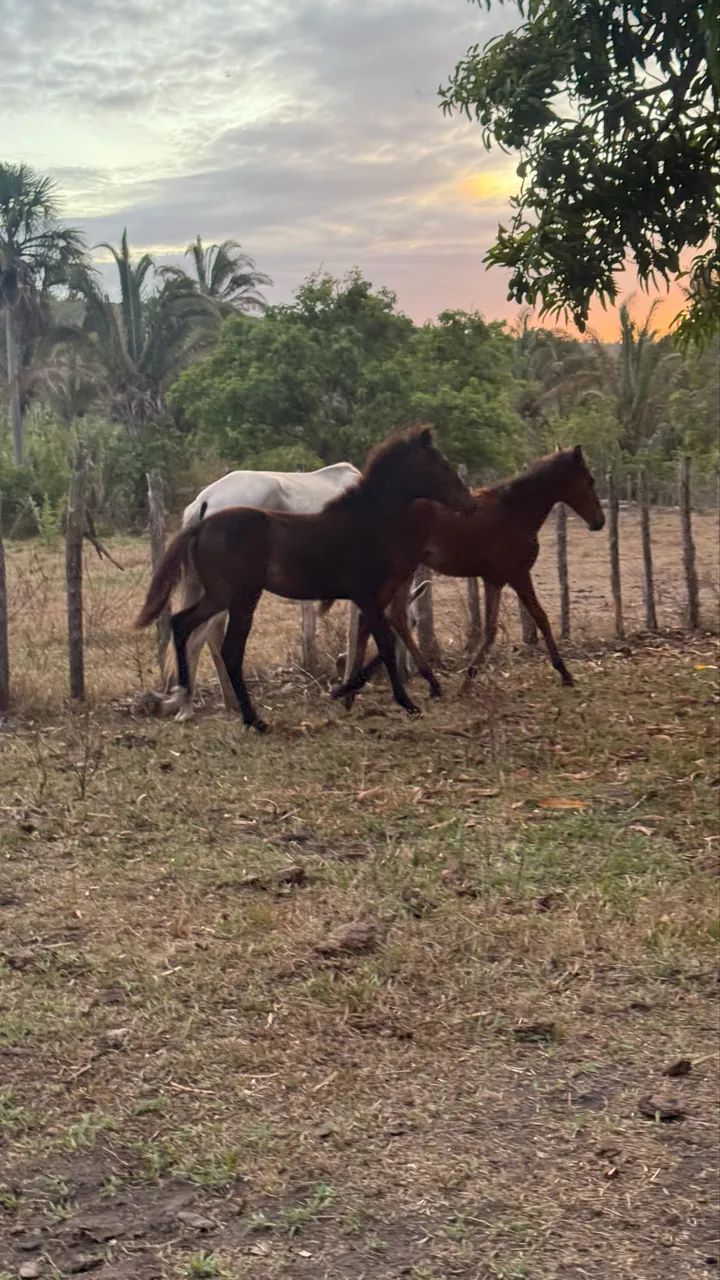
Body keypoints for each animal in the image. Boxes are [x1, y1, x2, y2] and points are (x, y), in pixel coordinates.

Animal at [338, 445, 605, 700]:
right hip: (398, 573)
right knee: (370, 620)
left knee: (397, 619)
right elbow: (541, 617)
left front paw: (467, 682)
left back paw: (428, 684)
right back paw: (351, 692)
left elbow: (490, 630)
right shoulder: (518, 575)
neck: (515, 510)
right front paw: (565, 673)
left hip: (404, 574)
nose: (599, 522)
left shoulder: (494, 580)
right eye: (590, 480)